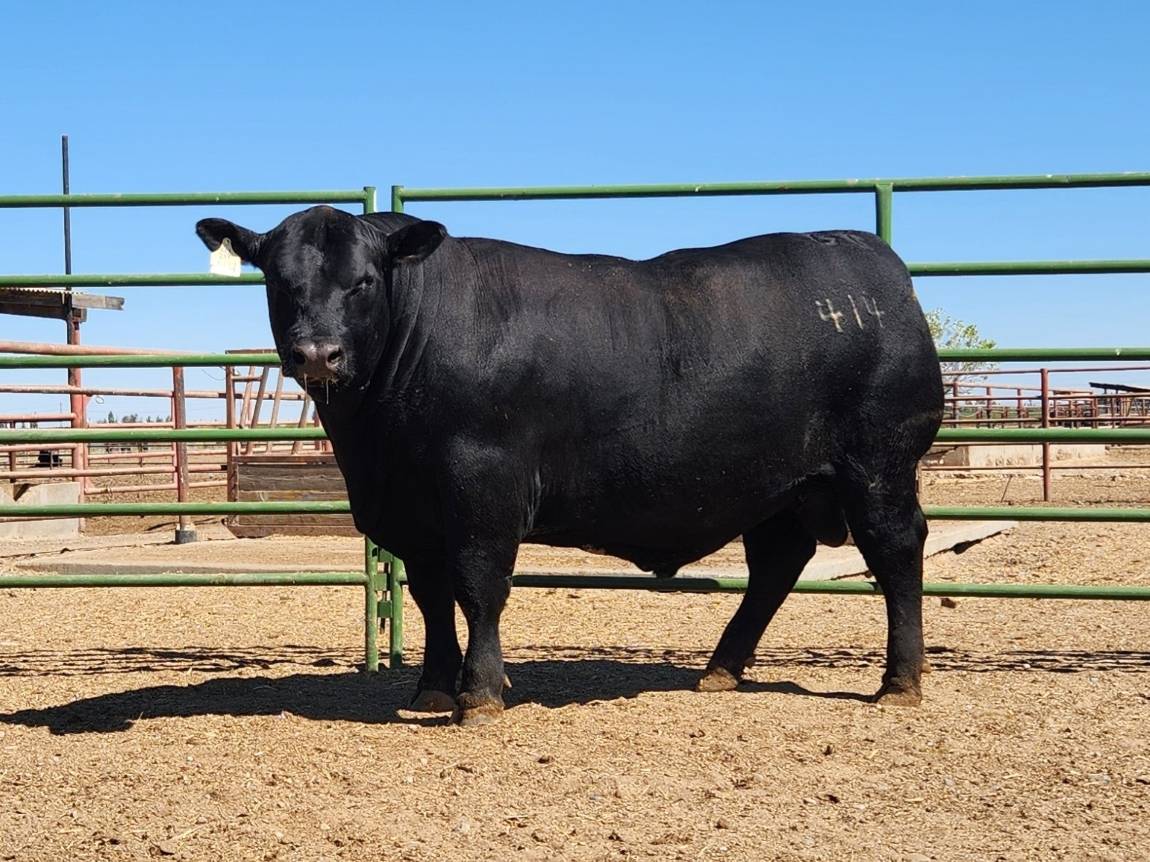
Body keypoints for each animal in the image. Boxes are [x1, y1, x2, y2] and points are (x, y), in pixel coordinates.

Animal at [196, 206, 944, 726]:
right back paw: (721, 670)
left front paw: (480, 694)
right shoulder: (409, 511)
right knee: (776, 565)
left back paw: (899, 682)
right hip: (777, 487)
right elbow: (431, 596)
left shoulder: (482, 488)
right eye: (280, 281)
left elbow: (478, 589)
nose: (317, 354)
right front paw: (432, 689)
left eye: (363, 282)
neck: (376, 440)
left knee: (895, 552)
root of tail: (872, 260)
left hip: (878, 466)